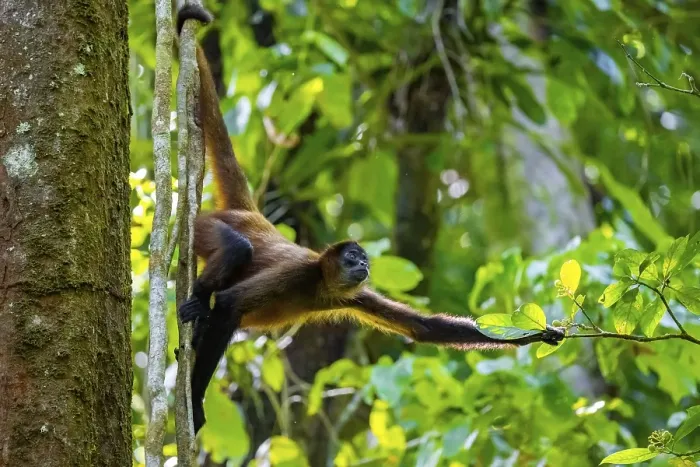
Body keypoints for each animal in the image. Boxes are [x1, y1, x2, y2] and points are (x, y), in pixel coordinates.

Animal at [175, 5, 565, 434]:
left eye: (364, 260)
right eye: (352, 257)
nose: (362, 264)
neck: (318, 286)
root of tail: (249, 212)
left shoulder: (354, 293)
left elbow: (424, 328)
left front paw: (537, 334)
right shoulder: (297, 273)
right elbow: (229, 303)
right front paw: (194, 400)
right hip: (206, 224)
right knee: (236, 249)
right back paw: (199, 303)